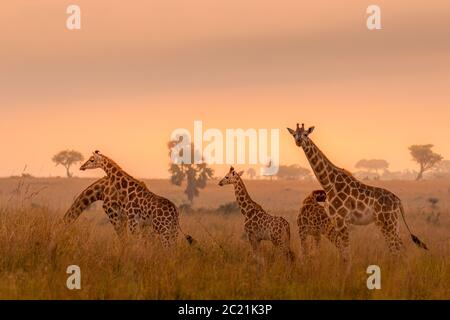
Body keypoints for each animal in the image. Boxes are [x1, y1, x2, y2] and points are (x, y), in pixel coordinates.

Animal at [286, 122, 428, 260]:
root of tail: (398, 201)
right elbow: (343, 251)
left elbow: (346, 251)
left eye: (305, 134)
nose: (298, 141)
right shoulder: (335, 220)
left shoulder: (341, 219)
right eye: (294, 134)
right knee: (401, 248)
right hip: (393, 223)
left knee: (396, 249)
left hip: (387, 223)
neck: (329, 184)